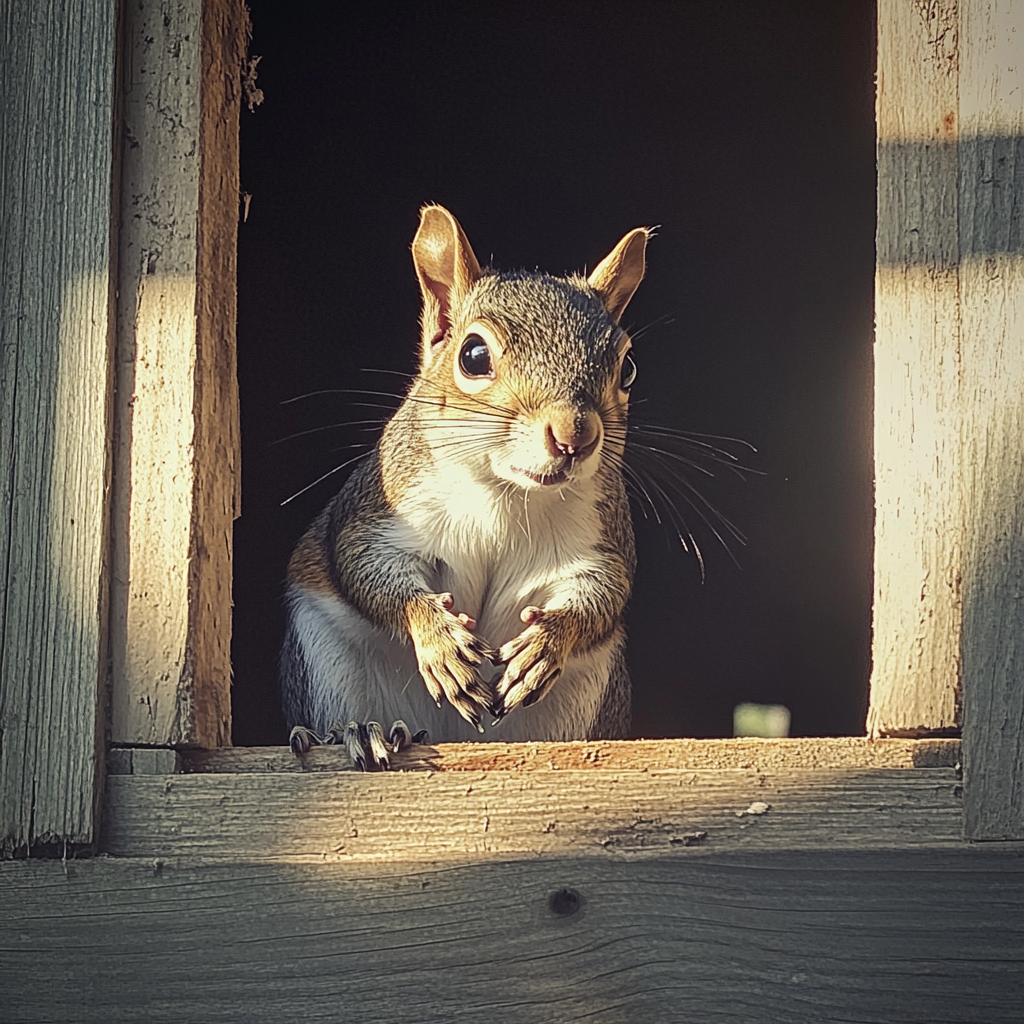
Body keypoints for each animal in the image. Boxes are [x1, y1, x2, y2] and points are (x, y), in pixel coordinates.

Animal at [280, 205, 647, 770]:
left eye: (627, 367)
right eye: (473, 356)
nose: (575, 436)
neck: (506, 491)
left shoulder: (600, 542)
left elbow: (601, 596)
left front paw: (546, 643)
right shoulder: (381, 513)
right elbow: (369, 572)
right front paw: (440, 642)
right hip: (325, 661)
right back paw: (362, 733)